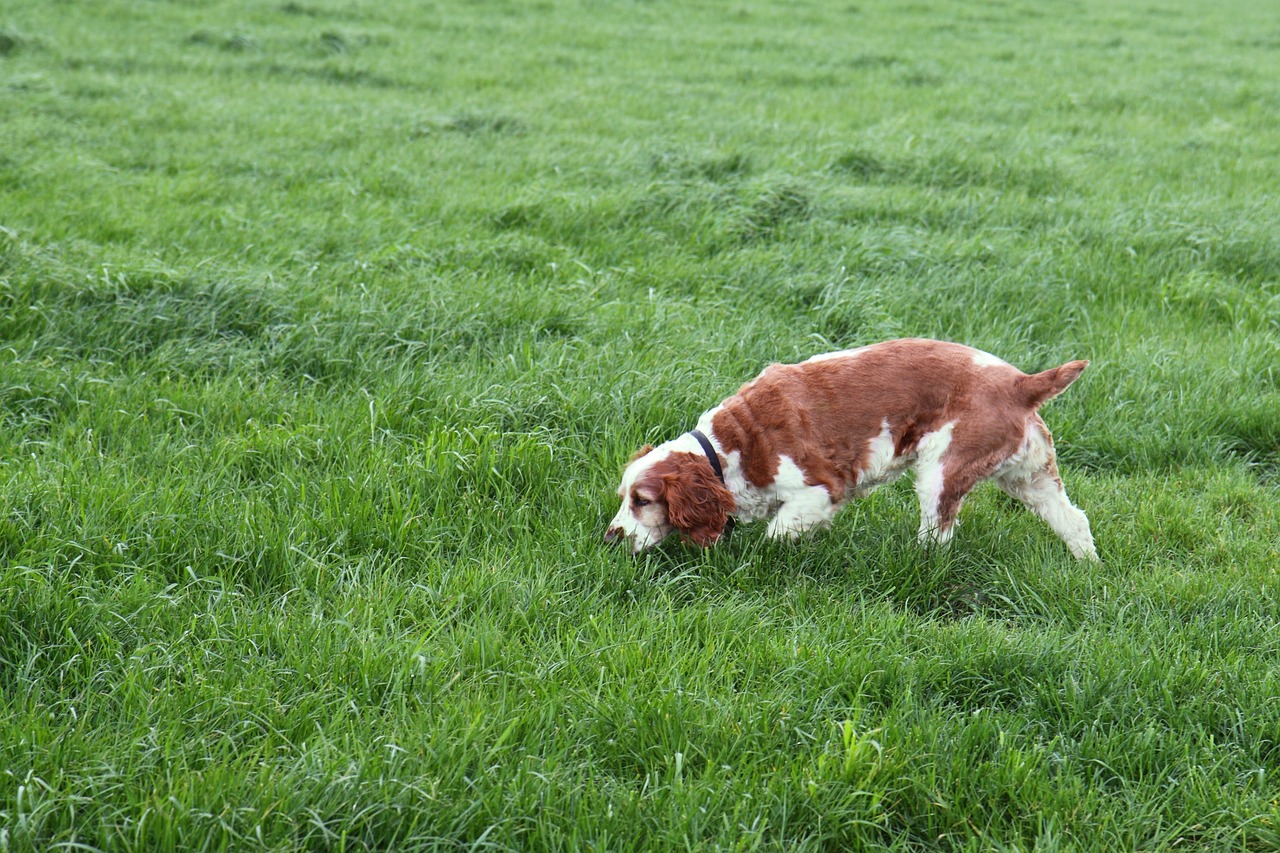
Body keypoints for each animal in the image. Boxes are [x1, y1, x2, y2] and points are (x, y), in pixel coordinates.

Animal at [604, 335, 1095, 560]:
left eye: (642, 501)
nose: (610, 538)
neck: (731, 448)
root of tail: (1021, 383)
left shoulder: (819, 489)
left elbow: (777, 531)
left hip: (942, 472)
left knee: (938, 536)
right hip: (1029, 476)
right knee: (1074, 520)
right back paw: (1087, 567)